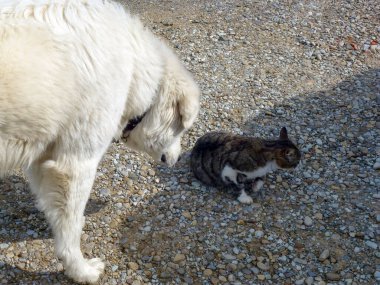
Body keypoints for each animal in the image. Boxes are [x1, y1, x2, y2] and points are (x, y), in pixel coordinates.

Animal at [0, 0, 200, 282]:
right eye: (183, 127)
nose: (180, 158)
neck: (134, 69)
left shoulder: (44, 155)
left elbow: (58, 213)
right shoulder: (75, 164)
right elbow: (71, 226)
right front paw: (80, 270)